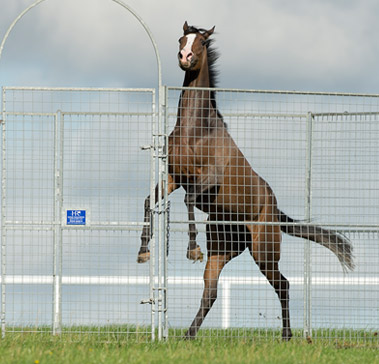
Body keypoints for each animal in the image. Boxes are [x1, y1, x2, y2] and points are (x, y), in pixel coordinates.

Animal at [137, 22, 356, 342]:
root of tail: (275, 211)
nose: (185, 57)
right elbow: (149, 201)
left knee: (283, 284)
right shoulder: (174, 177)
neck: (196, 131)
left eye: (202, 42)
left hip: (264, 250)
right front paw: (143, 251)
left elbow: (189, 200)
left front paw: (192, 249)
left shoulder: (207, 180)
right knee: (211, 292)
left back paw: (287, 335)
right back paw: (189, 335)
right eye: (181, 39)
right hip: (222, 248)